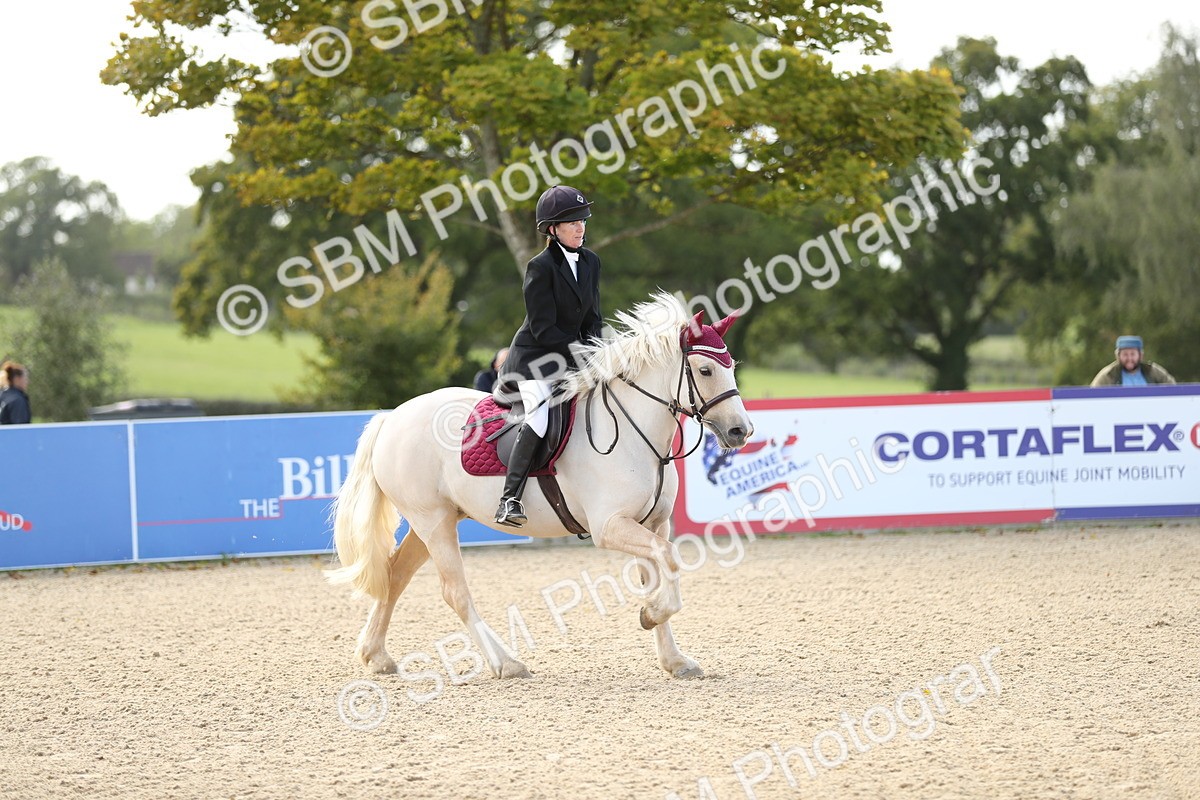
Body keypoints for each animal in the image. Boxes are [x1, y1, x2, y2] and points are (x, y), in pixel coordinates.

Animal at [327, 292, 754, 680]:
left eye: (731, 367)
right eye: (705, 371)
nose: (740, 431)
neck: (638, 435)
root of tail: (393, 417)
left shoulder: (652, 524)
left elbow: (659, 569)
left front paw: (674, 658)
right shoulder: (610, 526)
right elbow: (669, 560)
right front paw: (652, 613)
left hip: (434, 520)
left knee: (395, 576)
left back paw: (376, 656)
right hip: (433, 521)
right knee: (454, 592)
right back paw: (506, 663)